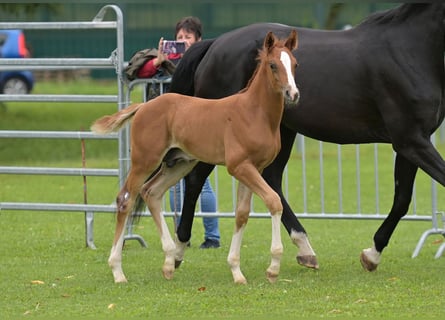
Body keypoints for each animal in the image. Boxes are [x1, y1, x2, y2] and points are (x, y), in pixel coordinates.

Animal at [168, 3, 442, 272]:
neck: (407, 50)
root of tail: (215, 45)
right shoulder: (411, 141)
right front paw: (372, 255)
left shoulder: (412, 142)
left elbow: (402, 199)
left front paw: (372, 255)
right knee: (195, 180)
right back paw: (178, 250)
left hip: (281, 130)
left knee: (271, 181)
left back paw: (305, 250)